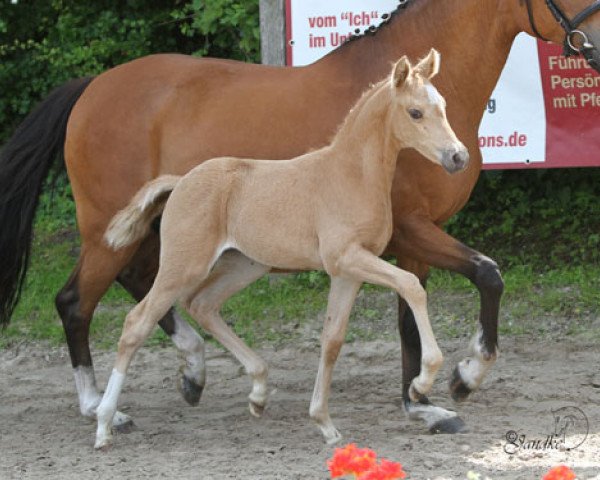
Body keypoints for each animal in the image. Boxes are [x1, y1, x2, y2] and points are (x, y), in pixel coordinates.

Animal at [95, 50, 468, 448]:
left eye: (443, 106)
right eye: (415, 112)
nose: (458, 156)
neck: (351, 175)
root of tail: (180, 182)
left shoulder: (347, 272)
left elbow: (332, 340)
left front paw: (324, 423)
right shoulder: (347, 258)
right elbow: (412, 285)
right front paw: (421, 383)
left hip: (244, 265)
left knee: (202, 304)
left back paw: (258, 392)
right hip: (182, 266)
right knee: (137, 323)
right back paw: (104, 424)